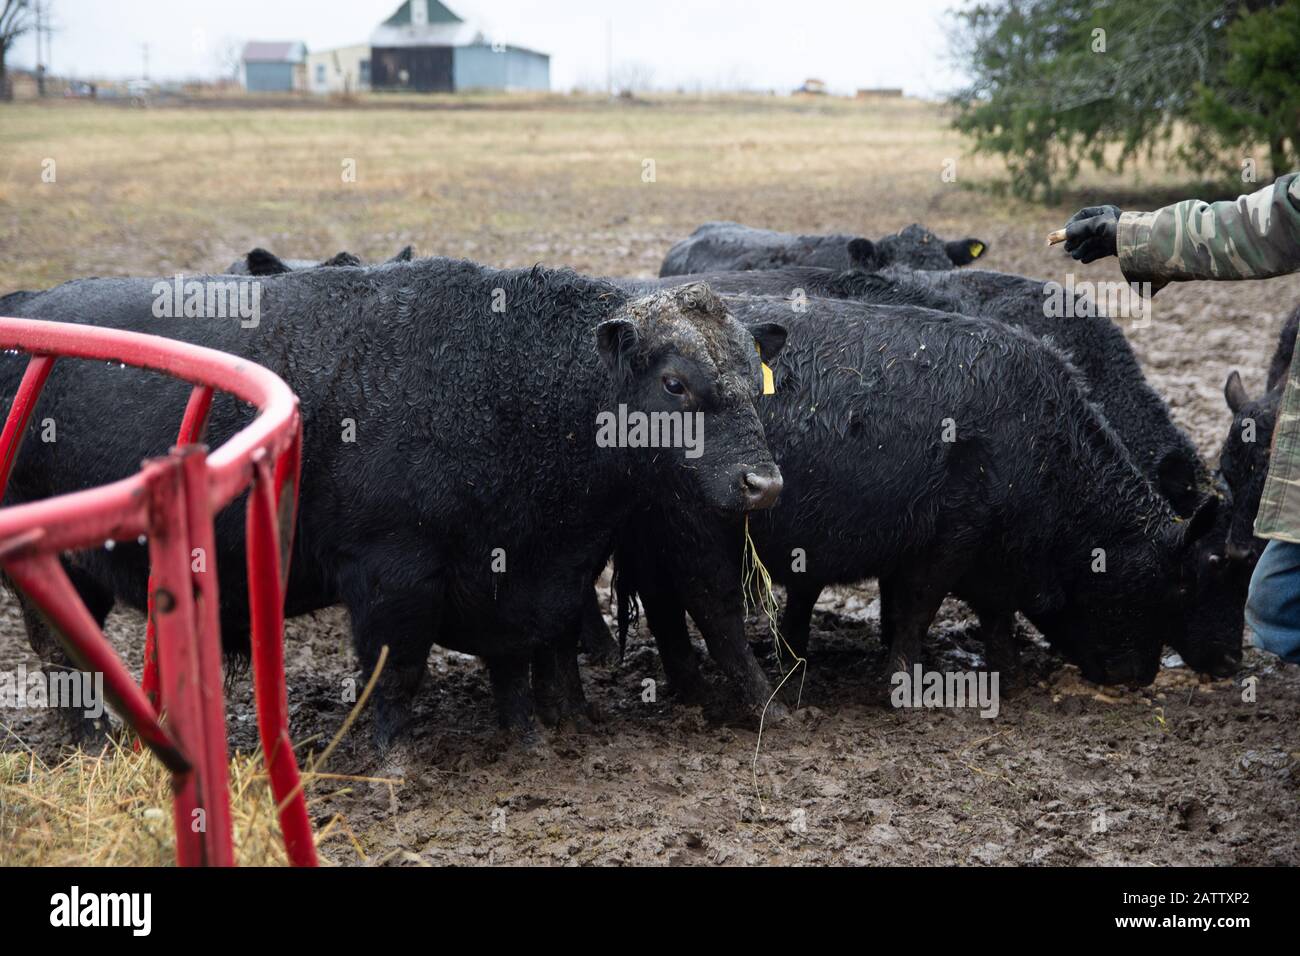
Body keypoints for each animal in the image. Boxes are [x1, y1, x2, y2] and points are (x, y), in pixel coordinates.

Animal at [2, 264, 780, 749]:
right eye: (676, 383)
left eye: (754, 376)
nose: (763, 483)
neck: (499, 382)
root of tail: (32, 305)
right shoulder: (391, 572)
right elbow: (396, 671)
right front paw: (393, 761)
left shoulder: (518, 573)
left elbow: (520, 658)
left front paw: (536, 739)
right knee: (58, 655)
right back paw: (92, 743)